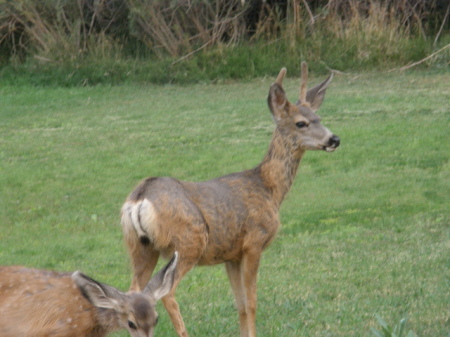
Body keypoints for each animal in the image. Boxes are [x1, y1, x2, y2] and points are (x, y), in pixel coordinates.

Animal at [121, 61, 340, 334]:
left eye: (319, 118)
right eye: (301, 123)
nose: (334, 139)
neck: (269, 189)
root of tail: (140, 197)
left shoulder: (231, 255)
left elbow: (241, 305)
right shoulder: (253, 243)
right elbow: (252, 302)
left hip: (140, 246)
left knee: (133, 292)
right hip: (189, 242)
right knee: (167, 293)